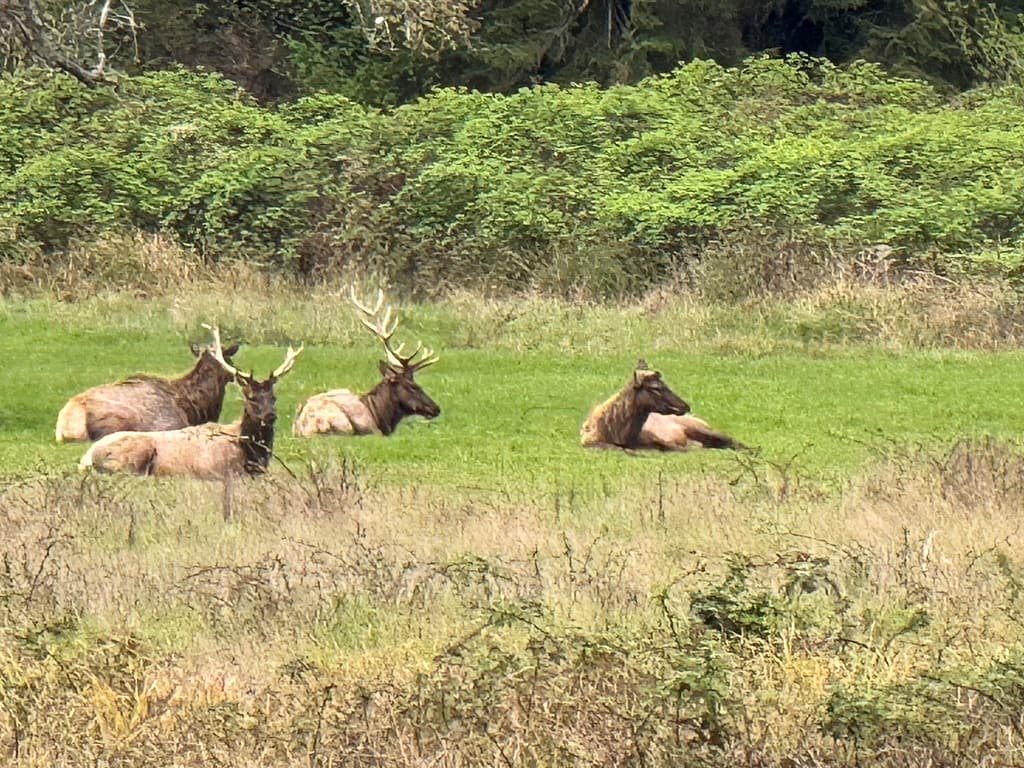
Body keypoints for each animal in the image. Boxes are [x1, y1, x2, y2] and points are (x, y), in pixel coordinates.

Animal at [79, 328, 303, 479]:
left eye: (274, 397)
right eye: (251, 397)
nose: (270, 416)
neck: (249, 453)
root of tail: (86, 459)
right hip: (133, 457)